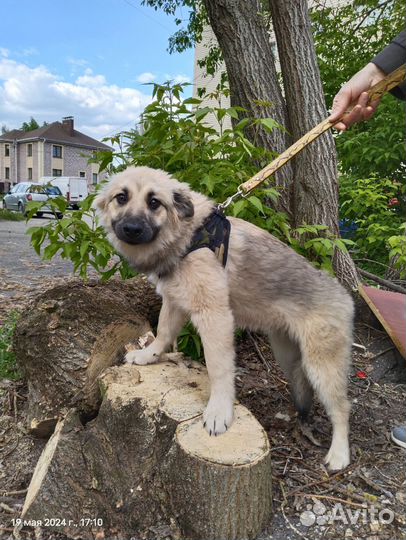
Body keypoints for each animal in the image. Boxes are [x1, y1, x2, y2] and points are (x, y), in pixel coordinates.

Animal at [94, 166, 352, 468]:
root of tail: (346, 297)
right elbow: (163, 334)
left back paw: (339, 454)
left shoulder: (214, 317)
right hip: (288, 355)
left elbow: (218, 367)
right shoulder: (175, 302)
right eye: (121, 197)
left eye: (154, 202)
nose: (132, 229)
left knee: (342, 408)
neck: (188, 235)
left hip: (321, 366)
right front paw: (148, 356)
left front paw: (219, 410)